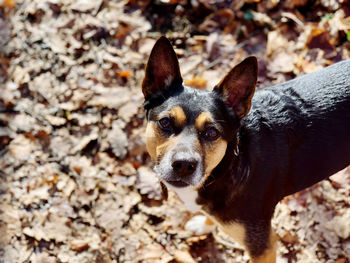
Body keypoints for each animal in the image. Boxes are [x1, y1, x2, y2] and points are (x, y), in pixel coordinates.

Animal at [141, 36, 350, 263]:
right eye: (165, 123)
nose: (184, 165)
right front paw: (204, 224)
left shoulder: (263, 247)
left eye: (212, 132)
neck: (230, 163)